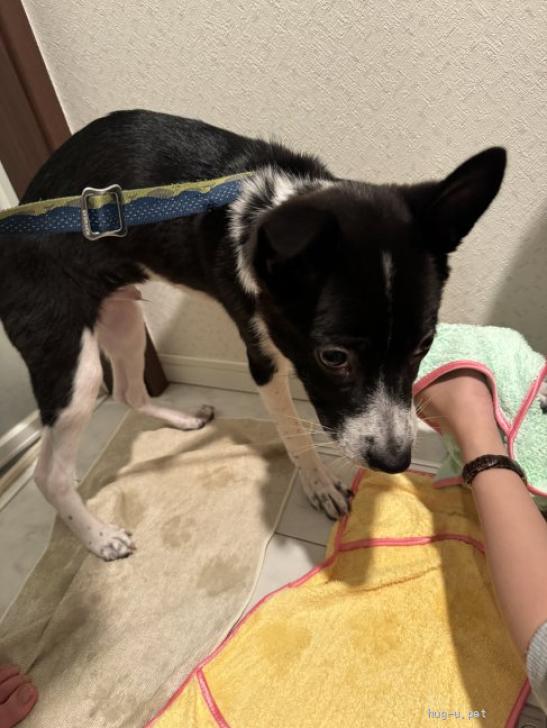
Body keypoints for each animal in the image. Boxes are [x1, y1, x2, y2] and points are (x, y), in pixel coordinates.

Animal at [0, 110, 506, 560]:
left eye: (424, 345)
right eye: (334, 357)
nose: (396, 462)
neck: (274, 203)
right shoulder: (263, 357)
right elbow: (295, 432)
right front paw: (320, 487)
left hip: (121, 314)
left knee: (127, 391)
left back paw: (182, 419)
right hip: (70, 356)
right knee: (50, 473)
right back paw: (100, 538)